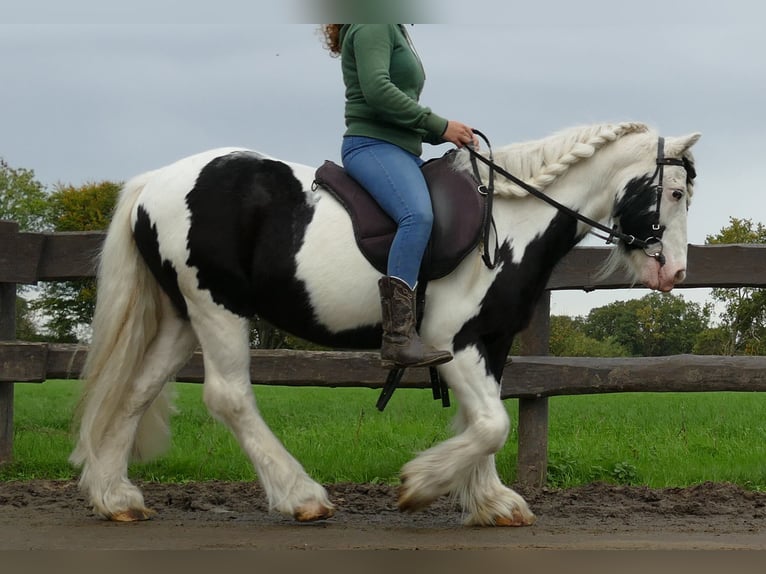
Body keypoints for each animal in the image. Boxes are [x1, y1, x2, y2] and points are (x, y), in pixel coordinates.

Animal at [70, 121, 704, 528]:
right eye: (675, 192)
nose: (675, 271)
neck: (511, 223)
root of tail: (153, 181)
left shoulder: (491, 341)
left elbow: (486, 421)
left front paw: (490, 501)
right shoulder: (454, 341)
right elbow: (492, 424)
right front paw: (421, 485)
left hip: (186, 315)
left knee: (136, 390)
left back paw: (115, 497)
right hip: (217, 306)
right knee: (229, 396)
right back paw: (301, 497)